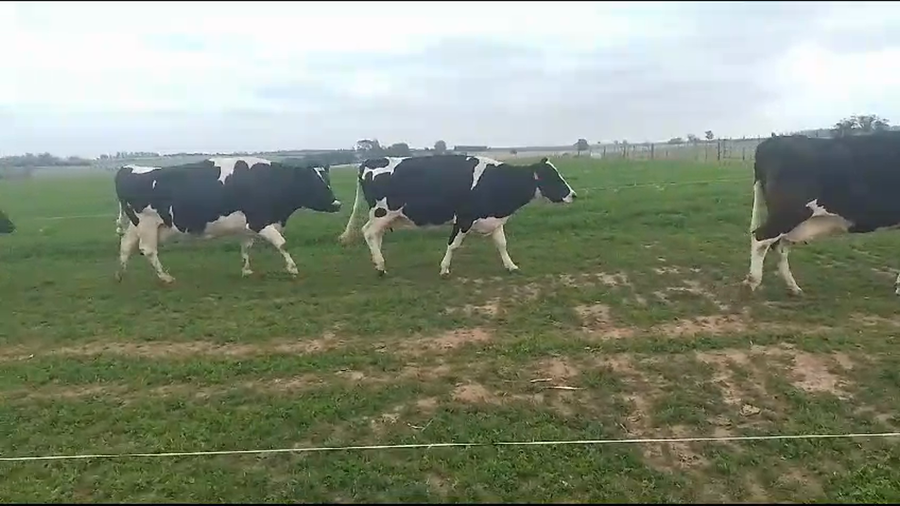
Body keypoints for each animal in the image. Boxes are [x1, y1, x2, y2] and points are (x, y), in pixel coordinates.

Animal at [114, 156, 342, 283]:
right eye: (314, 183)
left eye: (327, 181)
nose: (337, 204)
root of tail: (127, 168)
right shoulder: (258, 221)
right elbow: (282, 244)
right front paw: (293, 269)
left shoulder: (247, 227)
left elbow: (246, 248)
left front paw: (247, 270)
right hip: (147, 224)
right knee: (148, 250)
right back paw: (165, 277)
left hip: (138, 225)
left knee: (126, 245)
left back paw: (121, 275)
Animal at [337, 155, 577, 277]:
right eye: (553, 177)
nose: (573, 195)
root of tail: (370, 160)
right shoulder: (464, 218)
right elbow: (453, 244)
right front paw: (444, 268)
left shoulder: (494, 219)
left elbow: (502, 244)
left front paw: (511, 266)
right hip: (382, 212)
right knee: (368, 233)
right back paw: (380, 264)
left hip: (382, 216)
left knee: (375, 235)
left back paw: (379, 264)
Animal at [744, 131, 900, 296]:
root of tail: (773, 141)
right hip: (789, 213)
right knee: (761, 238)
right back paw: (751, 283)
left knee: (778, 246)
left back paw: (793, 287)